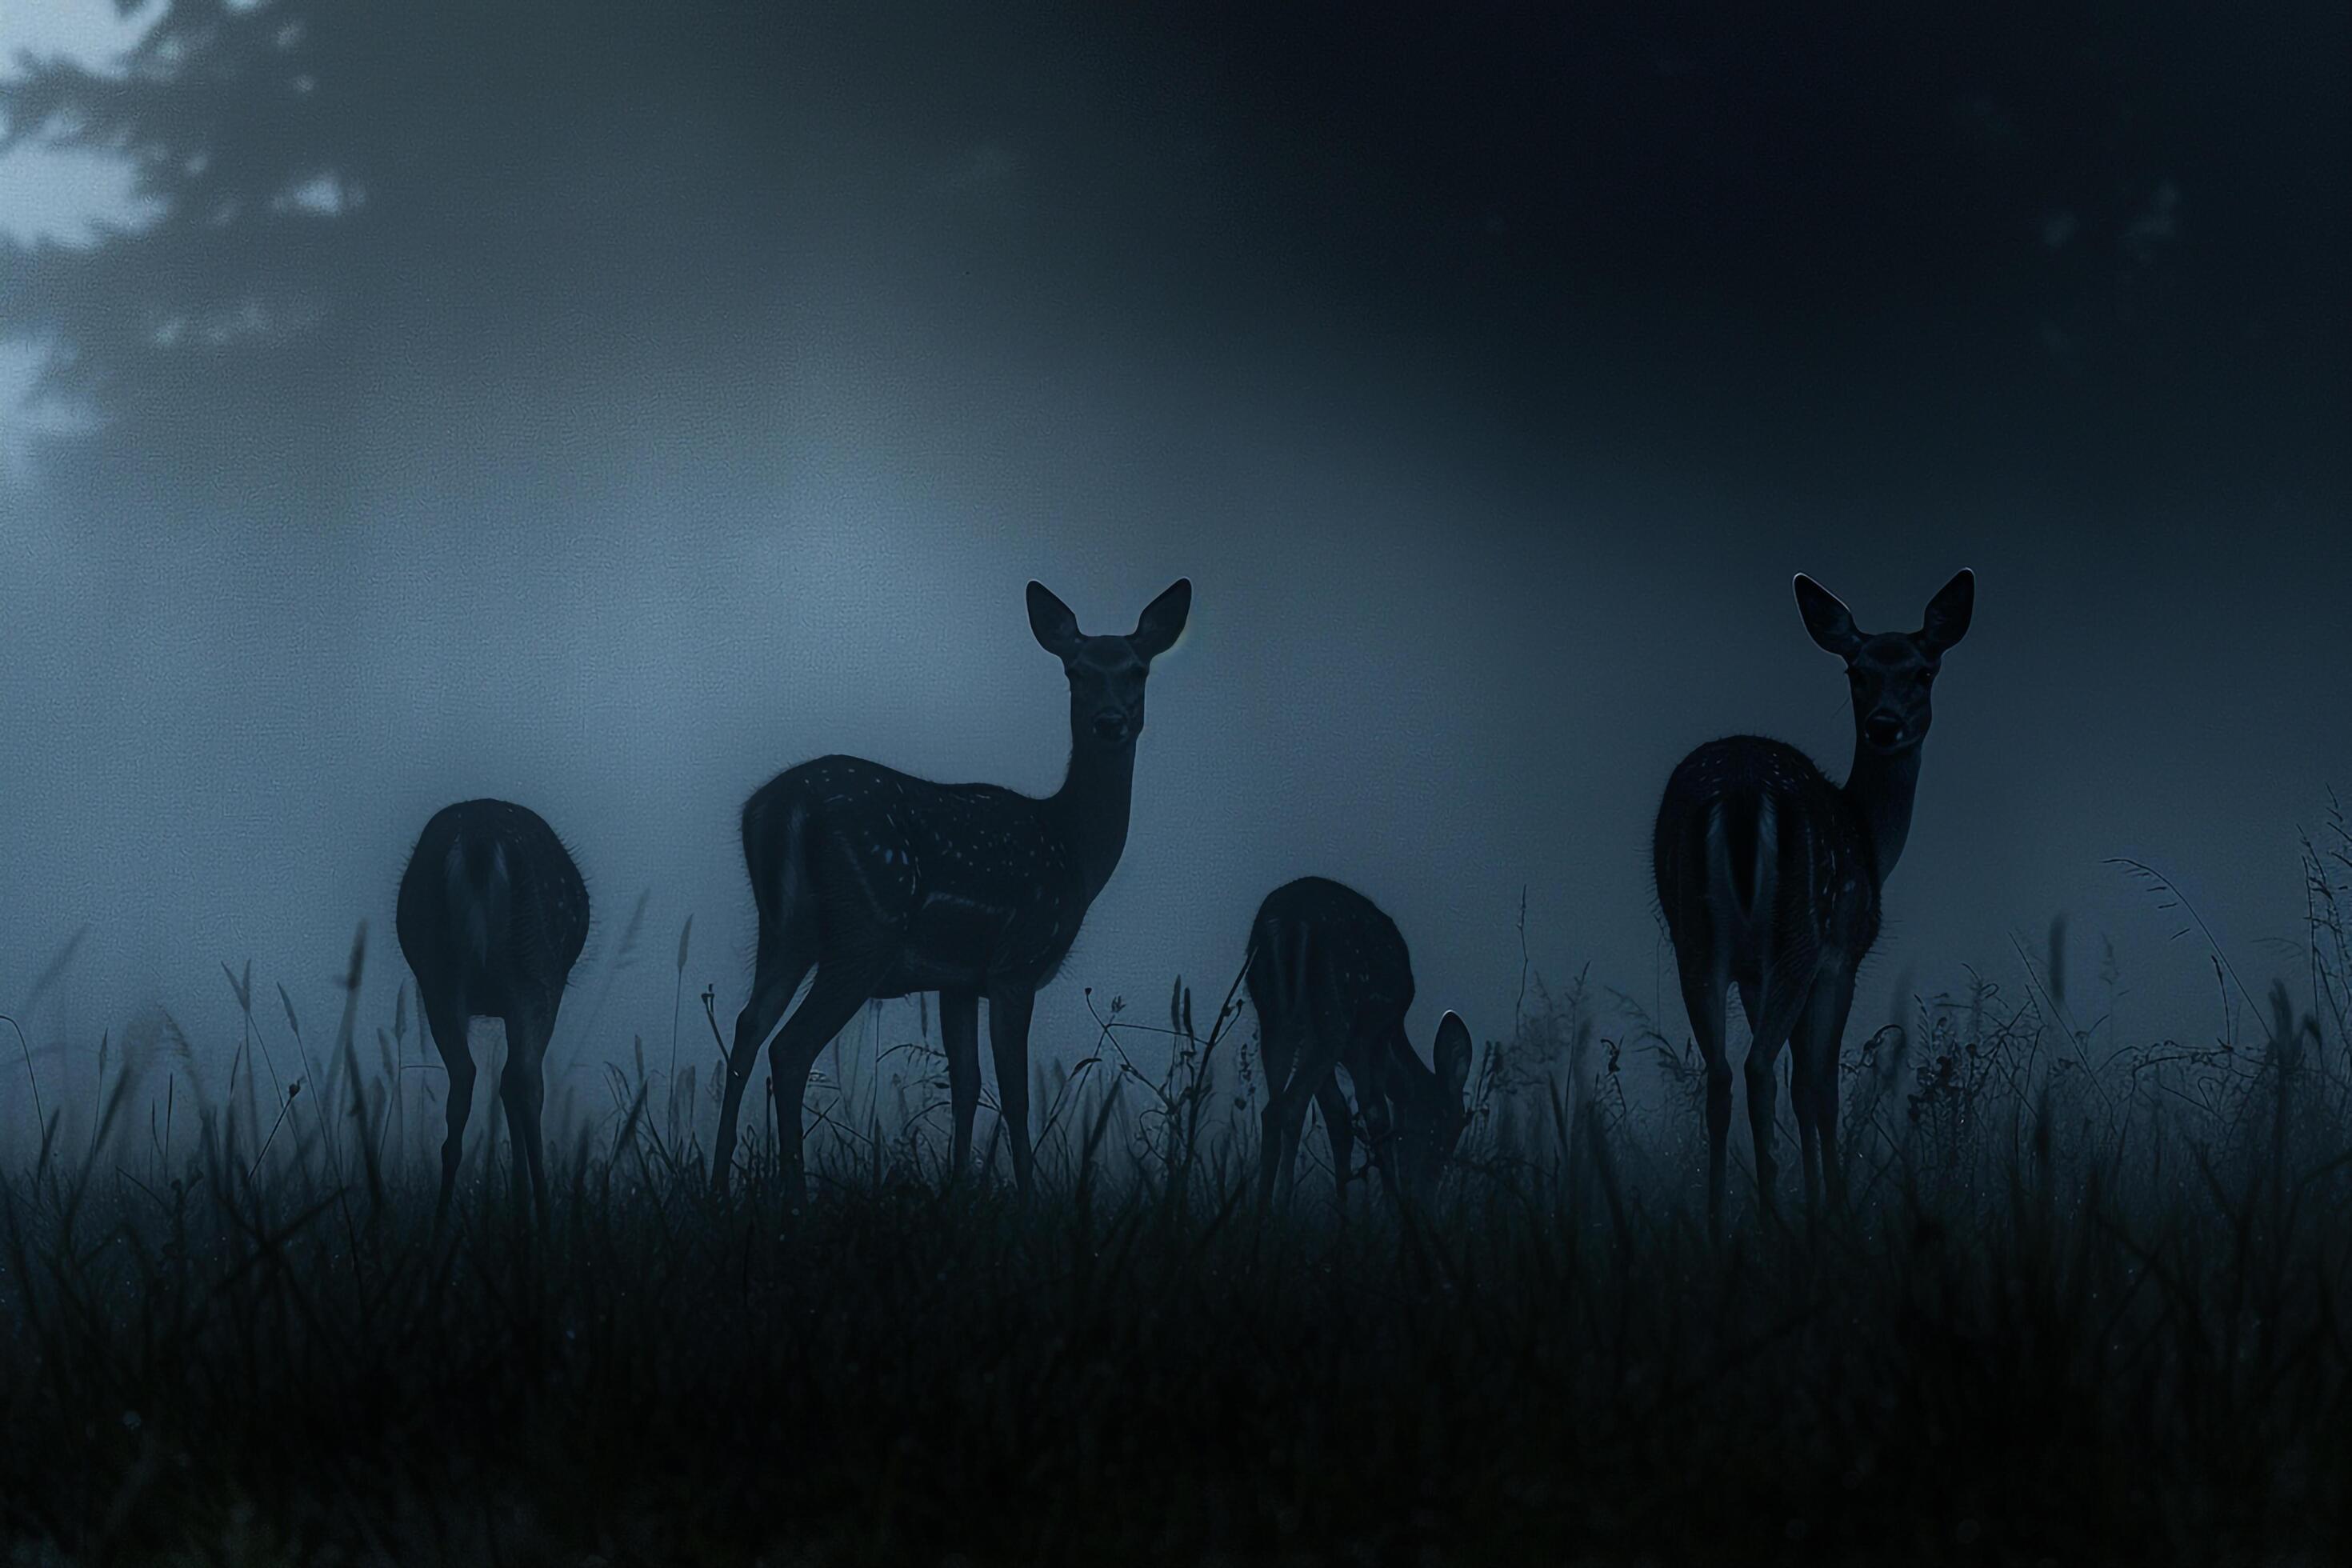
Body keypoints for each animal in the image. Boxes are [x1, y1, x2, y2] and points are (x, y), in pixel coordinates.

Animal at [394, 799, 588, 1222]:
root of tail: (479, 840)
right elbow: (515, 1084)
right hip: (535, 967)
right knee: (525, 1079)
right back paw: (543, 1212)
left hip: (438, 973)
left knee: (466, 1079)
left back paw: (442, 1219)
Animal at [706, 575, 1194, 1203]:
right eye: (1076, 671)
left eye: (1137, 669)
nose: (1110, 721)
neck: (1074, 851)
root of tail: (779, 807)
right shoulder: (1016, 965)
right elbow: (1015, 1094)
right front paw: (1027, 1199)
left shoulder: (957, 982)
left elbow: (965, 1084)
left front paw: (960, 1187)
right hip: (867, 928)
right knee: (789, 1048)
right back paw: (794, 1196)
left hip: (783, 930)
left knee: (745, 1031)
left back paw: (719, 1186)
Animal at [1251, 879, 1467, 1213]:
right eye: (1445, 1127)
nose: (1426, 1193)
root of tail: (1285, 923)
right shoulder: (1369, 1037)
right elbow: (1376, 1114)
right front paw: (1395, 1209)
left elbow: (1338, 1117)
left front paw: (1345, 1211)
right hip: (1335, 1015)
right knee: (1291, 1105)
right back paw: (1279, 1207)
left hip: (1275, 1019)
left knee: (1272, 1108)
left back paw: (1260, 1210)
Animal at [1655, 564, 1985, 1241]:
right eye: (1856, 671)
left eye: (1923, 671)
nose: (1884, 724)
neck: (1871, 835)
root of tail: (1742, 798)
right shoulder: (1841, 957)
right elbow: (1818, 1087)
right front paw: (1832, 1207)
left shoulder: (1754, 975)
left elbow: (1798, 1083)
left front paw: (1812, 1197)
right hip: (1799, 933)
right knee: (1758, 1069)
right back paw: (1770, 1217)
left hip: (1696, 939)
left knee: (1723, 1073)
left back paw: (1719, 1220)